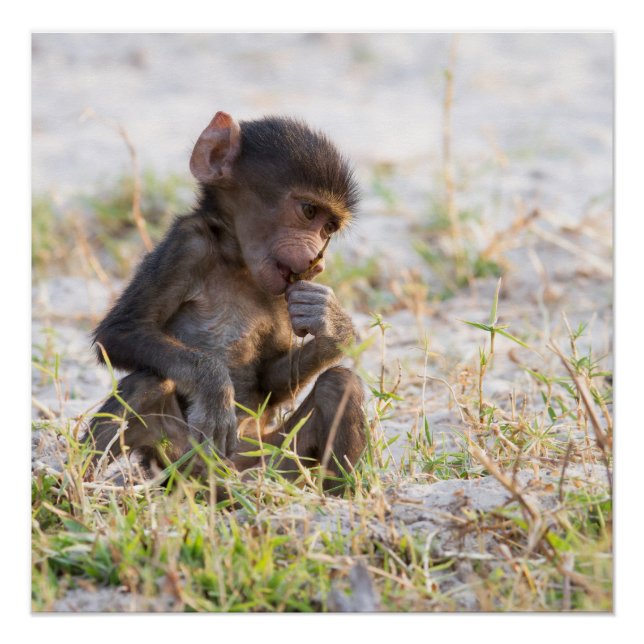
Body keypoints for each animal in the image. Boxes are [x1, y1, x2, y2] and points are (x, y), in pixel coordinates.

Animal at [86, 111, 367, 490]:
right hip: (181, 461)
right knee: (145, 383)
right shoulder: (188, 244)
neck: (237, 263)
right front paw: (215, 388)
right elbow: (119, 332)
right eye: (309, 211)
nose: (317, 263)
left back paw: (337, 494)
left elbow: (270, 378)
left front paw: (331, 324)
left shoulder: (280, 293)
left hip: (275, 459)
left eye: (329, 228)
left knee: (339, 384)